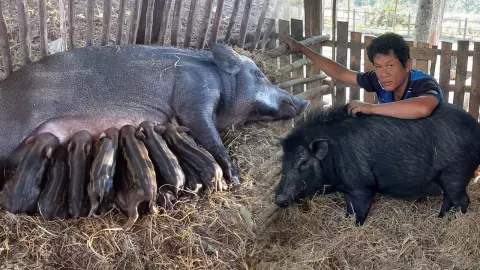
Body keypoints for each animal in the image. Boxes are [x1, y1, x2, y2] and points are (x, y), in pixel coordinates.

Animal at [276, 103, 480, 226]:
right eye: (283, 161)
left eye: (303, 162)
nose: (279, 199)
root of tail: (476, 129)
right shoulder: (349, 188)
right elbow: (349, 210)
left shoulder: (362, 186)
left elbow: (359, 210)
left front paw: (356, 226)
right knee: (449, 198)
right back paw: (440, 218)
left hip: (456, 173)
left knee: (462, 200)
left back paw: (455, 221)